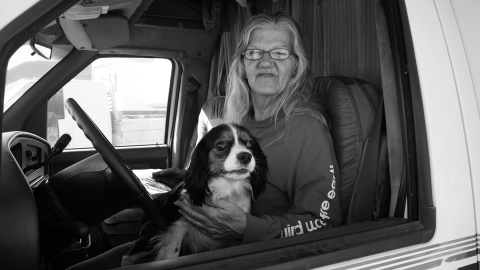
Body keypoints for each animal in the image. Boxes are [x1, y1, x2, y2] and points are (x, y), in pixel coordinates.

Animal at [122, 124, 268, 266]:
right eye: (221, 145)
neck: (227, 187)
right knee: (126, 258)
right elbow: (171, 254)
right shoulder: (177, 227)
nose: (246, 156)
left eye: (250, 144)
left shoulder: (234, 235)